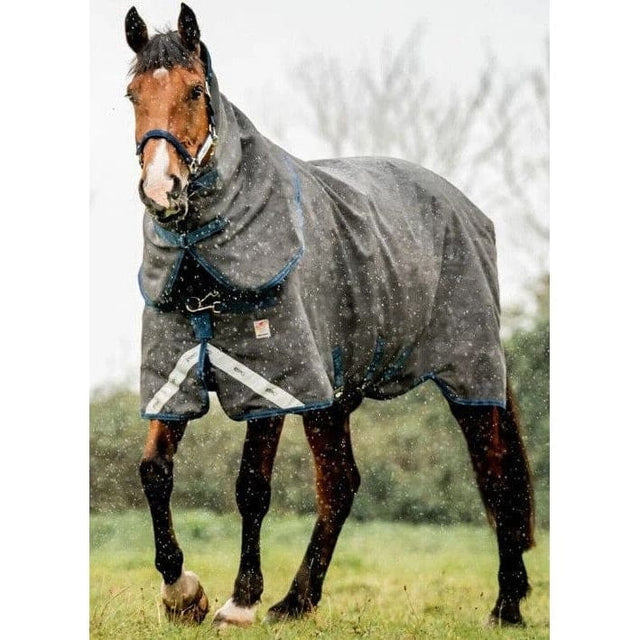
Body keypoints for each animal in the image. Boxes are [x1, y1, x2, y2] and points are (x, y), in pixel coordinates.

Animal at [125, 3, 535, 628]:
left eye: (195, 90)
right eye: (132, 94)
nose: (160, 187)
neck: (205, 266)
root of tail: (467, 209)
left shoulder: (270, 376)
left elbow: (251, 485)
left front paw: (239, 601)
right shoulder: (179, 373)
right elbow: (154, 471)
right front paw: (183, 594)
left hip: (470, 372)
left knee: (494, 475)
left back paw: (506, 606)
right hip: (334, 395)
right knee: (340, 484)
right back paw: (297, 600)